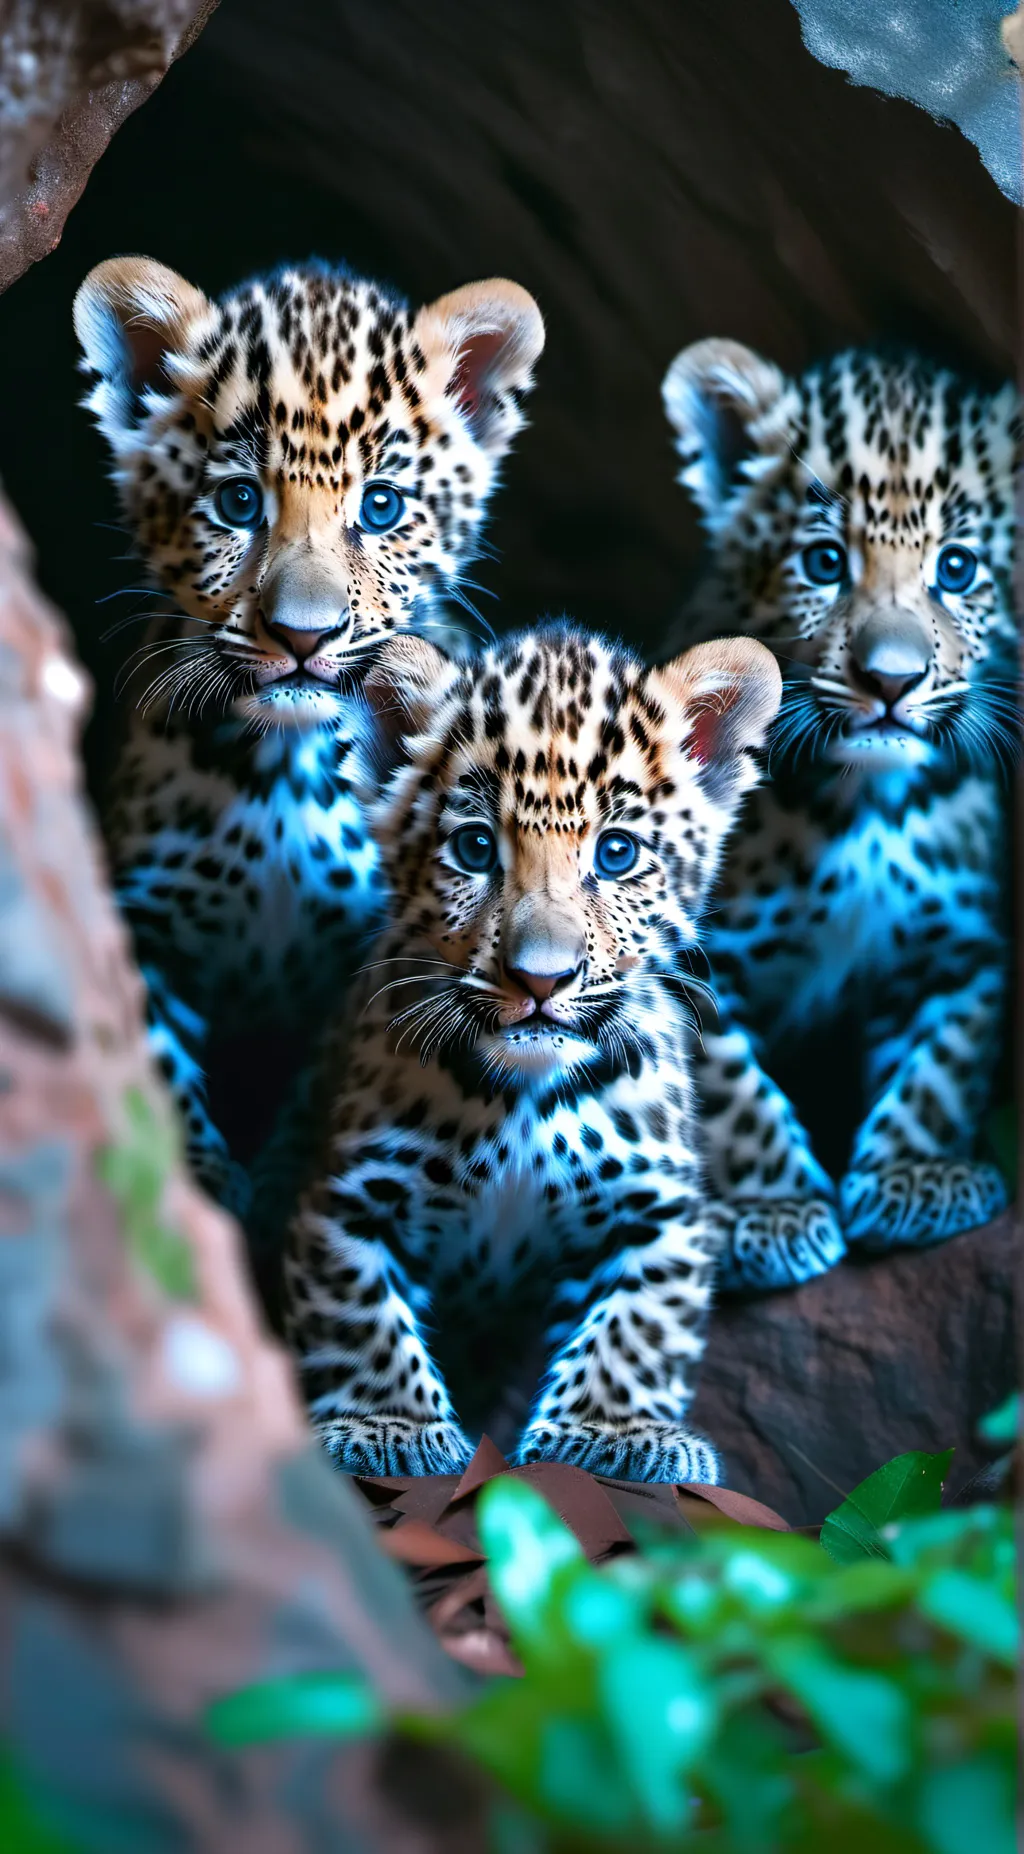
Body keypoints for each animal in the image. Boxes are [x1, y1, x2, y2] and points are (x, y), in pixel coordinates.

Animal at [73, 254, 543, 1213]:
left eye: (383, 505)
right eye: (237, 501)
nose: (303, 634)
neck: (280, 773)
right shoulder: (144, 929)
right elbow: (160, 1071)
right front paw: (213, 1186)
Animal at [283, 621, 782, 1481]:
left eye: (617, 854)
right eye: (476, 847)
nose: (541, 978)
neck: (523, 1097)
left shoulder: (661, 1209)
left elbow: (639, 1324)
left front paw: (613, 1432)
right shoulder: (346, 1196)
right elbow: (357, 1314)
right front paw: (389, 1424)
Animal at [661, 339, 1017, 1291]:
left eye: (958, 569)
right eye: (824, 564)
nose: (891, 679)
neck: (866, 811)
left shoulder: (958, 951)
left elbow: (941, 1069)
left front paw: (917, 1175)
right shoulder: (686, 961)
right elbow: (731, 1095)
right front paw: (771, 1212)